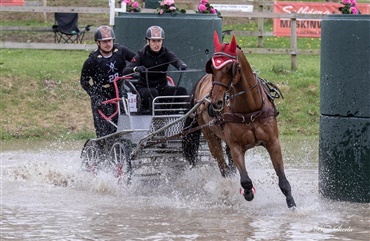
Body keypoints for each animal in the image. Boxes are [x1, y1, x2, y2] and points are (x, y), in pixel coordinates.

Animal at [181, 31, 294, 209]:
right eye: (212, 68)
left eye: (229, 68)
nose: (215, 102)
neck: (249, 110)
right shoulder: (236, 147)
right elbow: (246, 181)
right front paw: (247, 193)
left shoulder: (273, 142)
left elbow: (282, 179)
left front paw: (291, 204)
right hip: (210, 136)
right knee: (224, 167)